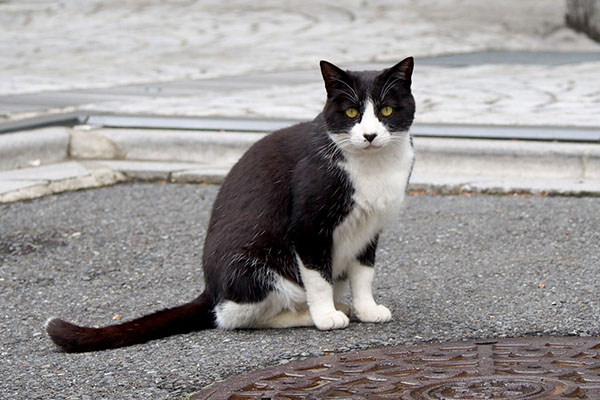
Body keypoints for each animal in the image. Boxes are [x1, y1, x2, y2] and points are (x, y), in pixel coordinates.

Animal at [47, 57, 414, 354]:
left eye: (386, 110)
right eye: (351, 112)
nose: (369, 136)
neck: (372, 167)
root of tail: (210, 288)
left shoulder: (369, 227)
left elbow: (364, 274)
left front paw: (368, 309)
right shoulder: (308, 227)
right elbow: (318, 279)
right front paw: (325, 316)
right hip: (255, 263)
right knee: (232, 316)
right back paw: (306, 314)